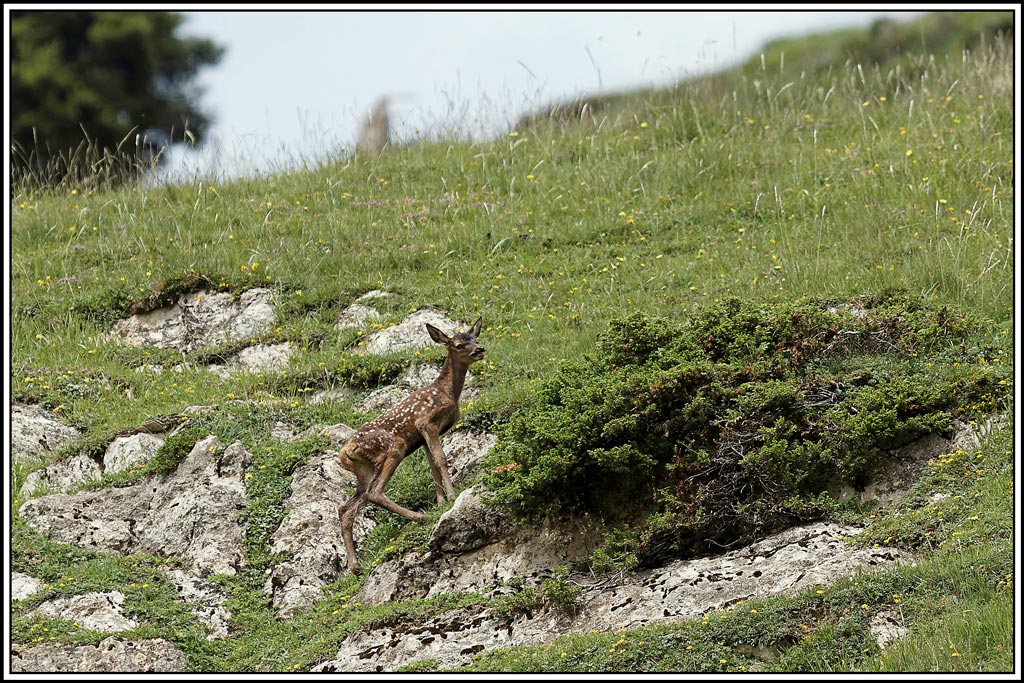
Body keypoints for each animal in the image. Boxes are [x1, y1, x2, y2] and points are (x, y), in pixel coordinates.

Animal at [338, 317, 485, 573]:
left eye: (474, 337)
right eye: (458, 344)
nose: (480, 349)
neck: (448, 392)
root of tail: (344, 452)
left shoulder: (424, 435)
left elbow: (432, 464)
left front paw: (441, 501)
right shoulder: (425, 421)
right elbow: (441, 459)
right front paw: (452, 496)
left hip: (364, 471)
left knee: (347, 507)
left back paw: (355, 566)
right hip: (393, 447)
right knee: (374, 493)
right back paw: (420, 517)